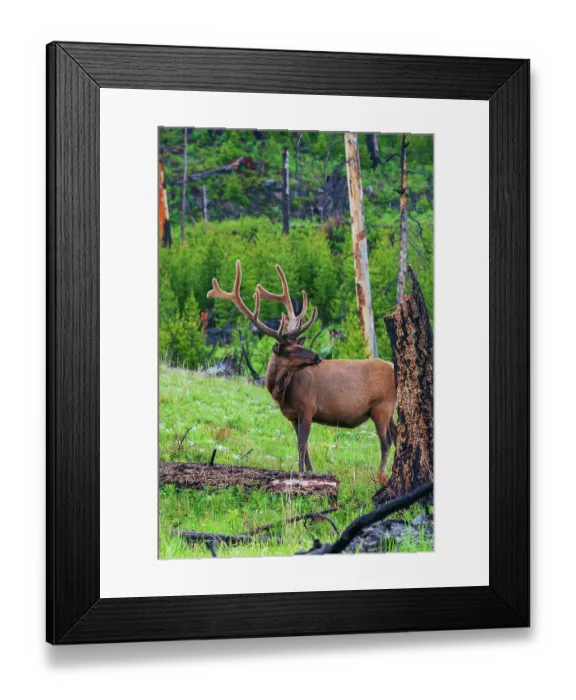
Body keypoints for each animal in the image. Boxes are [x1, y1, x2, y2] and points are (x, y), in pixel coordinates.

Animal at [207, 261, 397, 475]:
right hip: (390, 409)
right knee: (397, 436)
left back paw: (381, 474)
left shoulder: (308, 407)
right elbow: (304, 446)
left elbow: (301, 444)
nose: (317, 357)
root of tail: (395, 367)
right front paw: (310, 470)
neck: (282, 394)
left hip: (382, 406)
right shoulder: (292, 416)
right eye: (290, 350)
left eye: (298, 346)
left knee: (386, 441)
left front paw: (301, 472)